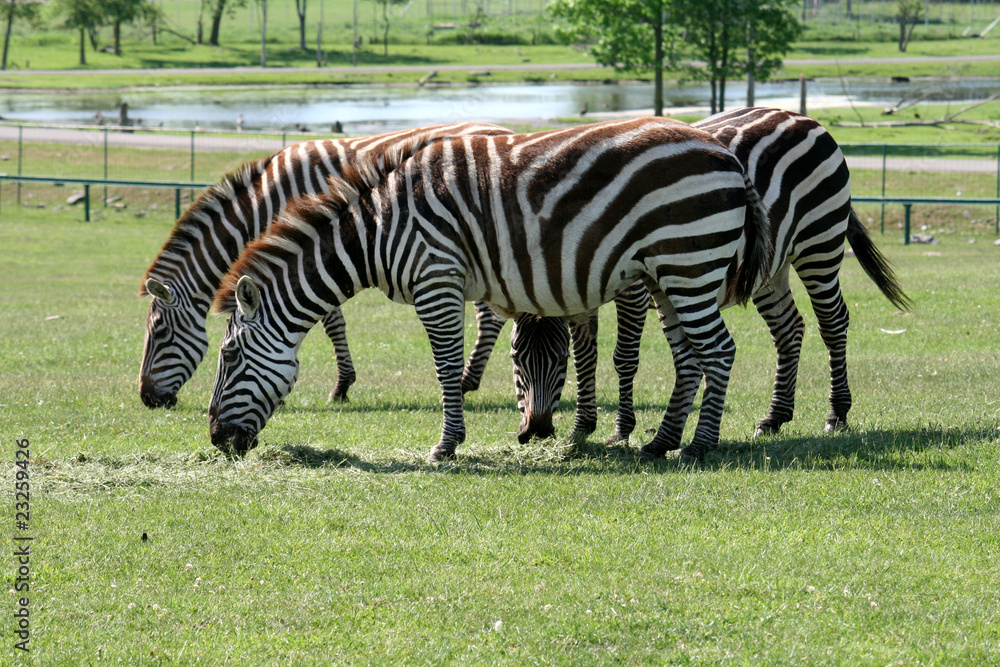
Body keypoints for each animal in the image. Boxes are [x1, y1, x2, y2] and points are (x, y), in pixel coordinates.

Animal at [138, 122, 511, 409]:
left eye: (159, 332)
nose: (147, 399)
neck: (262, 205)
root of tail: (503, 129)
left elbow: (332, 323)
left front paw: (341, 386)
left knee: (489, 317)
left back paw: (466, 381)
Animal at [208, 118, 773, 462]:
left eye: (230, 355)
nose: (216, 440)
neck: (376, 232)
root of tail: (725, 154)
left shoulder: (436, 280)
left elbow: (445, 367)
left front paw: (446, 445)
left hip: (689, 264)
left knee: (719, 351)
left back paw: (699, 446)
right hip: (668, 275)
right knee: (690, 357)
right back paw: (661, 442)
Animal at [509, 107, 913, 457]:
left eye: (555, 359)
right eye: (516, 358)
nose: (535, 431)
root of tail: (797, 115)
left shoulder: (633, 289)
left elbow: (623, 356)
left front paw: (621, 429)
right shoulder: (577, 291)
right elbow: (587, 357)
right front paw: (582, 426)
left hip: (820, 241)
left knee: (833, 321)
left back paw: (837, 413)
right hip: (770, 263)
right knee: (788, 328)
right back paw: (775, 417)